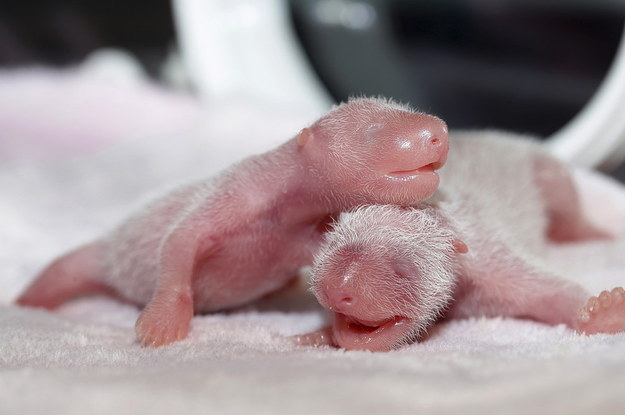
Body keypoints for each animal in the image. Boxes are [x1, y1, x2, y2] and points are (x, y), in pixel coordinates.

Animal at [298, 132, 620, 352]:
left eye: (402, 269)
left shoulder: (490, 258)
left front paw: (603, 313)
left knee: (565, 202)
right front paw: (314, 335)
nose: (336, 289)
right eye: (331, 246)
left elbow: (554, 291)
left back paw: (594, 232)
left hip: (542, 167)